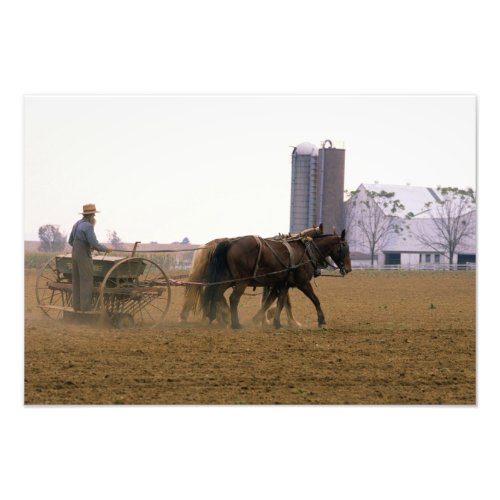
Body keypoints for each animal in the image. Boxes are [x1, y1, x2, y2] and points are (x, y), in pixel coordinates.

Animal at [202, 229, 352, 328]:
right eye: (345, 247)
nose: (349, 269)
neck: (307, 252)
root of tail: (231, 241)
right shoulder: (303, 283)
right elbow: (315, 300)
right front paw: (322, 321)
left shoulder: (283, 284)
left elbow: (277, 302)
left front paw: (273, 322)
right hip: (241, 281)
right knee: (233, 298)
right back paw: (235, 324)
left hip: (229, 279)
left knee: (216, 293)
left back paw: (215, 316)